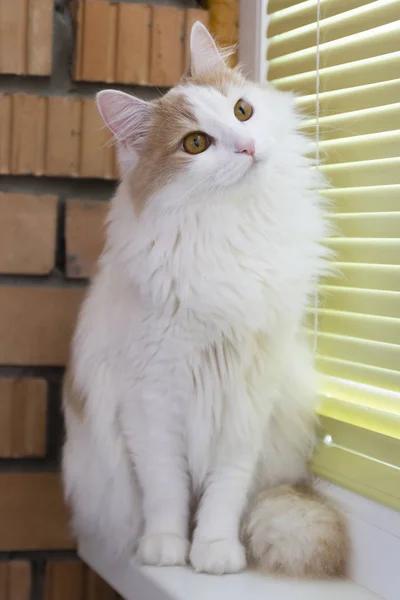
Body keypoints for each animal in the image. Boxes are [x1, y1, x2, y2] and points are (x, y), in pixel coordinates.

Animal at [61, 22, 346, 576]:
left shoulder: (247, 398)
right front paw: (167, 547)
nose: (246, 146)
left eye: (242, 111)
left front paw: (214, 548)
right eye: (196, 143)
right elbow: (165, 488)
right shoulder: (150, 399)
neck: (229, 232)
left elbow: (224, 491)